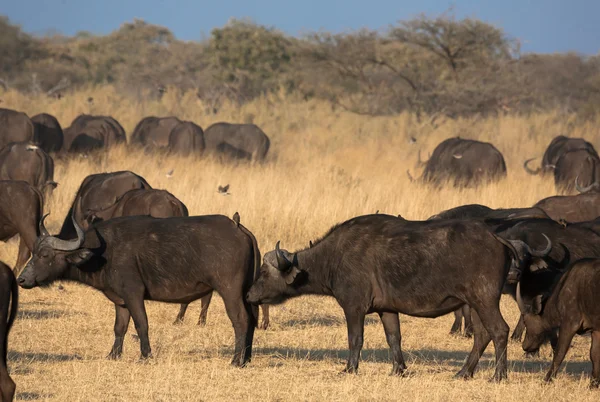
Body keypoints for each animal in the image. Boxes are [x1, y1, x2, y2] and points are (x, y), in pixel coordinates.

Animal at [18, 214, 258, 368]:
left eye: (45, 255)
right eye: (34, 253)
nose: (21, 279)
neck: (104, 253)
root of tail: (238, 228)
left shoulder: (134, 294)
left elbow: (141, 324)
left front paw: (145, 356)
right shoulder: (120, 300)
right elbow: (120, 327)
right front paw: (113, 355)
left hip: (229, 291)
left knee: (240, 320)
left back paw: (235, 361)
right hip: (247, 292)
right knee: (252, 320)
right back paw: (246, 359)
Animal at [248, 214, 520, 380]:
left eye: (263, 272)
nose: (249, 295)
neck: (334, 256)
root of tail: (497, 237)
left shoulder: (354, 308)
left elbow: (355, 339)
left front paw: (350, 368)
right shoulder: (387, 310)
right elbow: (394, 339)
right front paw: (399, 369)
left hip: (485, 300)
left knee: (499, 331)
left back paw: (498, 376)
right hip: (474, 304)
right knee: (482, 335)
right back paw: (464, 372)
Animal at [512, 260, 600, 388]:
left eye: (526, 322)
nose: (525, 346)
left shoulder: (569, 325)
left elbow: (559, 353)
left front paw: (547, 379)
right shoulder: (596, 330)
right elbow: (594, 355)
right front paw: (593, 384)